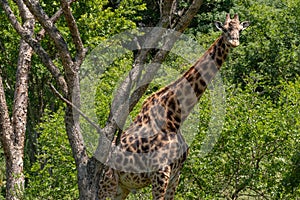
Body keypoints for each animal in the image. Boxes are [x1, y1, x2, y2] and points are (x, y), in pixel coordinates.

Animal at [98, 13, 248, 199]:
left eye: (240, 30)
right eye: (226, 29)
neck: (175, 116)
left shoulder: (176, 173)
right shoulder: (161, 172)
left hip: (122, 188)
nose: (234, 42)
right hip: (108, 183)